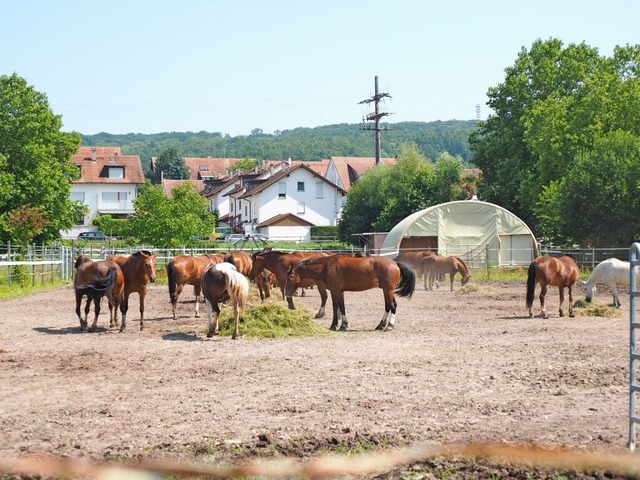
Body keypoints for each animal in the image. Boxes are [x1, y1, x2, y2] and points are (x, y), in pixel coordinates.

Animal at [284, 256, 416, 332]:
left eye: (290, 276)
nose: (286, 292)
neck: (327, 266)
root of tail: (395, 263)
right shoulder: (340, 291)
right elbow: (342, 307)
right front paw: (344, 325)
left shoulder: (335, 290)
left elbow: (335, 307)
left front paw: (333, 325)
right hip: (385, 290)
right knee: (388, 306)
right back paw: (380, 325)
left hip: (388, 290)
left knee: (393, 305)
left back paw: (389, 326)